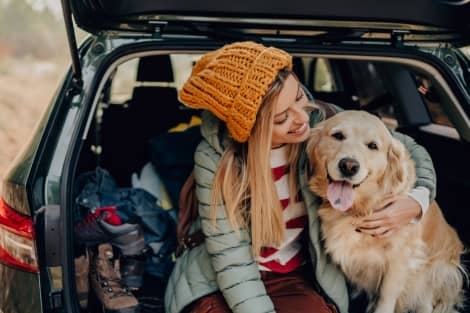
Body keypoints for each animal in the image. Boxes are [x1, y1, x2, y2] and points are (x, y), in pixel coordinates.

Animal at [306, 110, 464, 312]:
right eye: (338, 136)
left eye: (373, 146)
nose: (349, 166)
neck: (362, 207)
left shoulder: (400, 259)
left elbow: (385, 297)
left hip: (437, 271)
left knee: (426, 302)